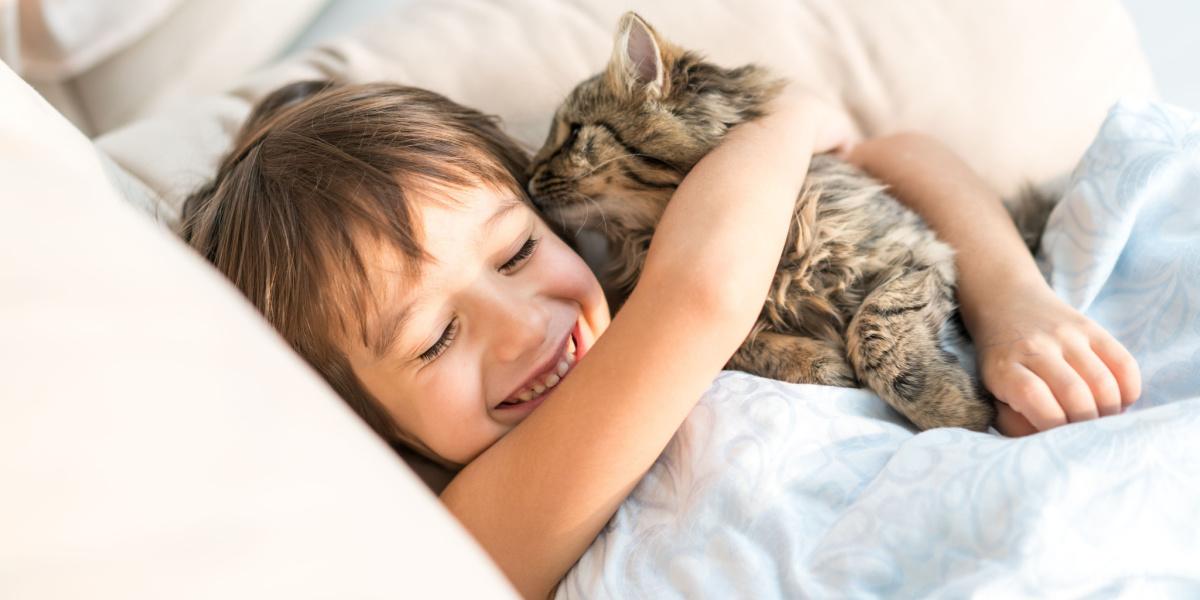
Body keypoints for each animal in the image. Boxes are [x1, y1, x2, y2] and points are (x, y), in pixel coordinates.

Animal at [530, 11, 1017, 429]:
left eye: (574, 134)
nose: (530, 177)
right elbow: (747, 344)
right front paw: (822, 364)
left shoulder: (916, 253)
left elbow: (875, 330)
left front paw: (953, 411)